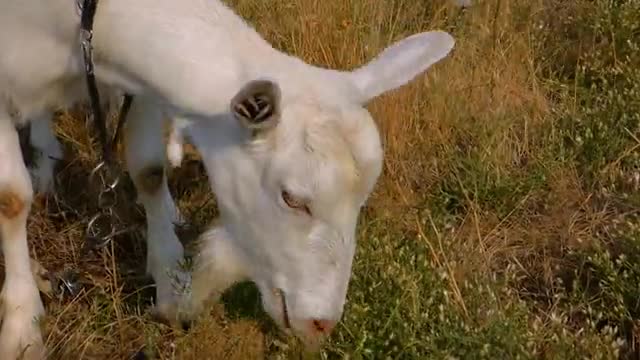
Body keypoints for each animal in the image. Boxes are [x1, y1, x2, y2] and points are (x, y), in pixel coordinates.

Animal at [0, 0, 456, 356]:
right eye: (291, 197)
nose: (321, 323)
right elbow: (12, 197)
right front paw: (22, 325)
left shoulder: (141, 84)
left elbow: (148, 170)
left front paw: (171, 284)